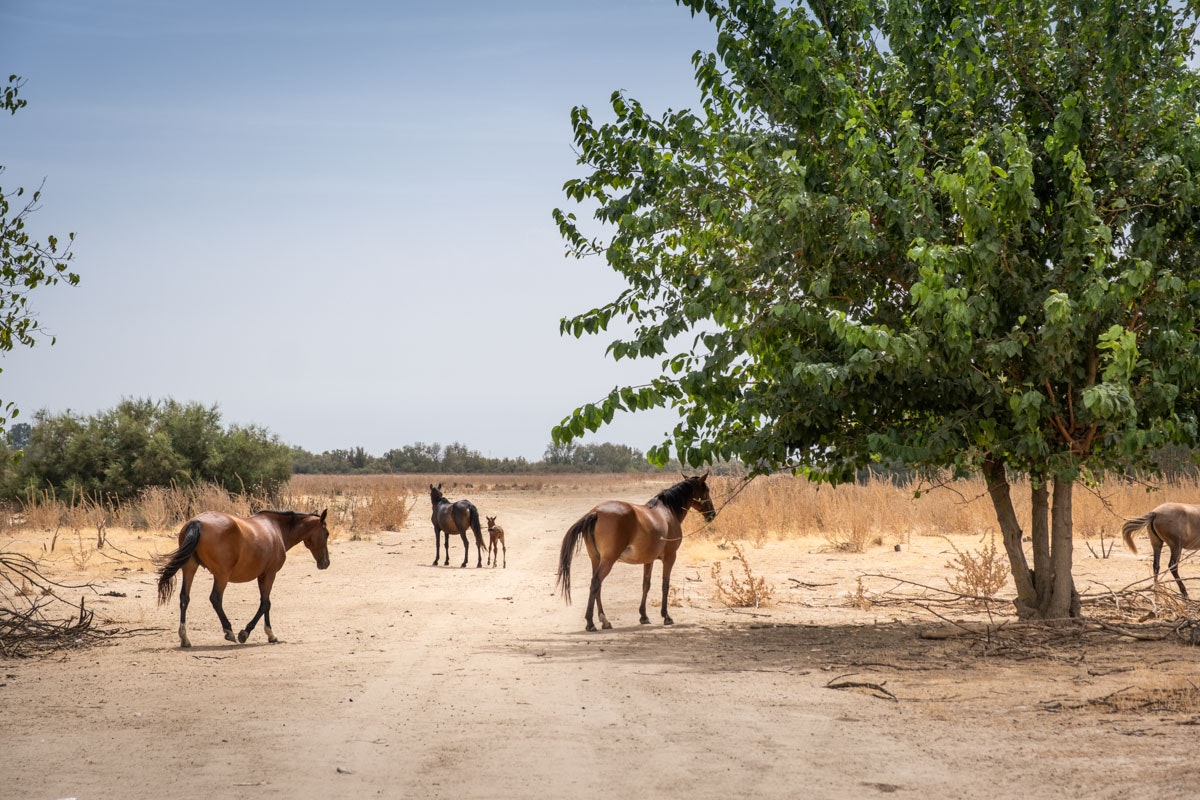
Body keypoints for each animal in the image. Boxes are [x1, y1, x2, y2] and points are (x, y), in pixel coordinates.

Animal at [155, 509, 331, 648]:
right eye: (327, 534)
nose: (326, 563)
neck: (277, 529)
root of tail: (196, 522)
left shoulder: (262, 576)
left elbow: (265, 603)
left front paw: (269, 635)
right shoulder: (269, 574)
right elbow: (265, 603)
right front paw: (252, 633)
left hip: (190, 568)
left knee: (184, 598)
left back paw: (185, 638)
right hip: (221, 575)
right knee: (215, 599)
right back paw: (229, 631)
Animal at [556, 473, 715, 632]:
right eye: (707, 490)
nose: (712, 514)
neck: (668, 511)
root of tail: (596, 512)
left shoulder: (648, 560)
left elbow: (646, 585)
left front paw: (643, 616)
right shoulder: (670, 557)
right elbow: (665, 585)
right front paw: (666, 616)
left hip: (596, 559)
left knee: (597, 586)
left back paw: (605, 621)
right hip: (608, 560)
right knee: (596, 583)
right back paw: (591, 623)